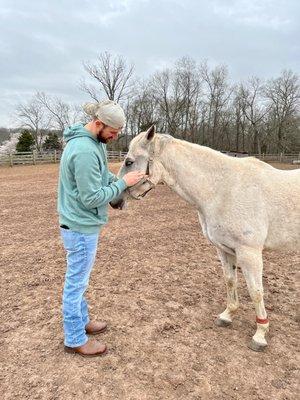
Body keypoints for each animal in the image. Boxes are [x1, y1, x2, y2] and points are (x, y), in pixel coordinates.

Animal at [110, 126, 300, 352]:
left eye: (129, 162)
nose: (114, 201)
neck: (224, 190)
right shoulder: (225, 249)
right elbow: (230, 281)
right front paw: (227, 315)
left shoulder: (249, 253)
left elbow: (256, 292)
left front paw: (260, 334)